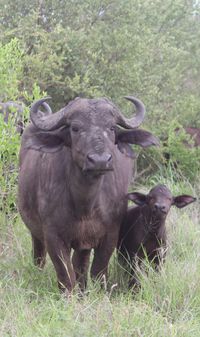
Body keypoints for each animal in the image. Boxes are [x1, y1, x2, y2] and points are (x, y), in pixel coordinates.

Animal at [18, 95, 159, 294]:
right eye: (75, 128)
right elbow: (65, 275)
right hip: (36, 233)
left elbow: (97, 271)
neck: (85, 205)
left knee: (81, 265)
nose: (100, 161)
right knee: (39, 256)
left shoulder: (109, 235)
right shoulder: (53, 236)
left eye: (112, 127)